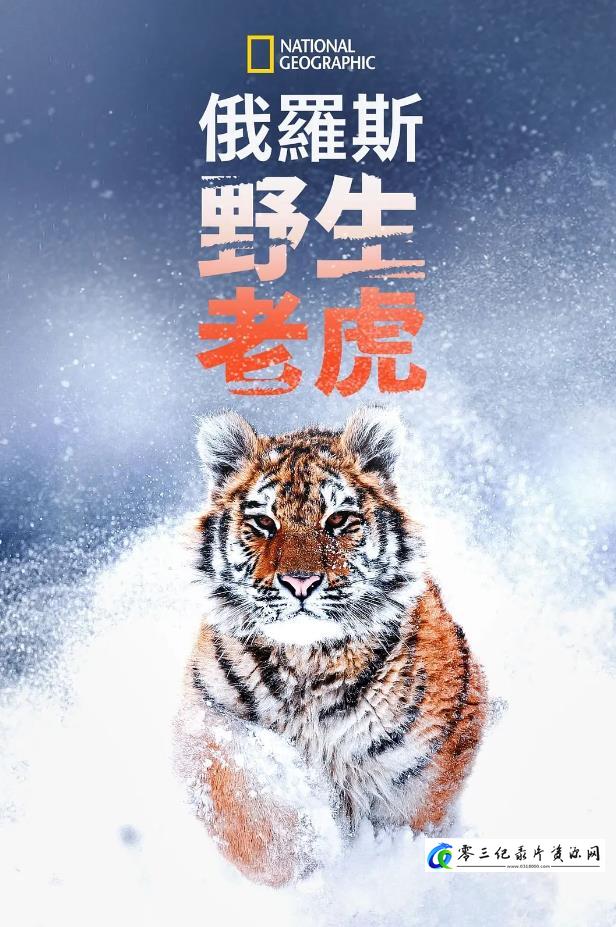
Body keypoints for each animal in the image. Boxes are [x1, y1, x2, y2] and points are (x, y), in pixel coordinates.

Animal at [174, 406, 487, 887]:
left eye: (337, 520)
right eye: (264, 523)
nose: (300, 582)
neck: (307, 661)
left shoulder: (426, 760)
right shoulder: (204, 716)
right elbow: (237, 790)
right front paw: (304, 855)